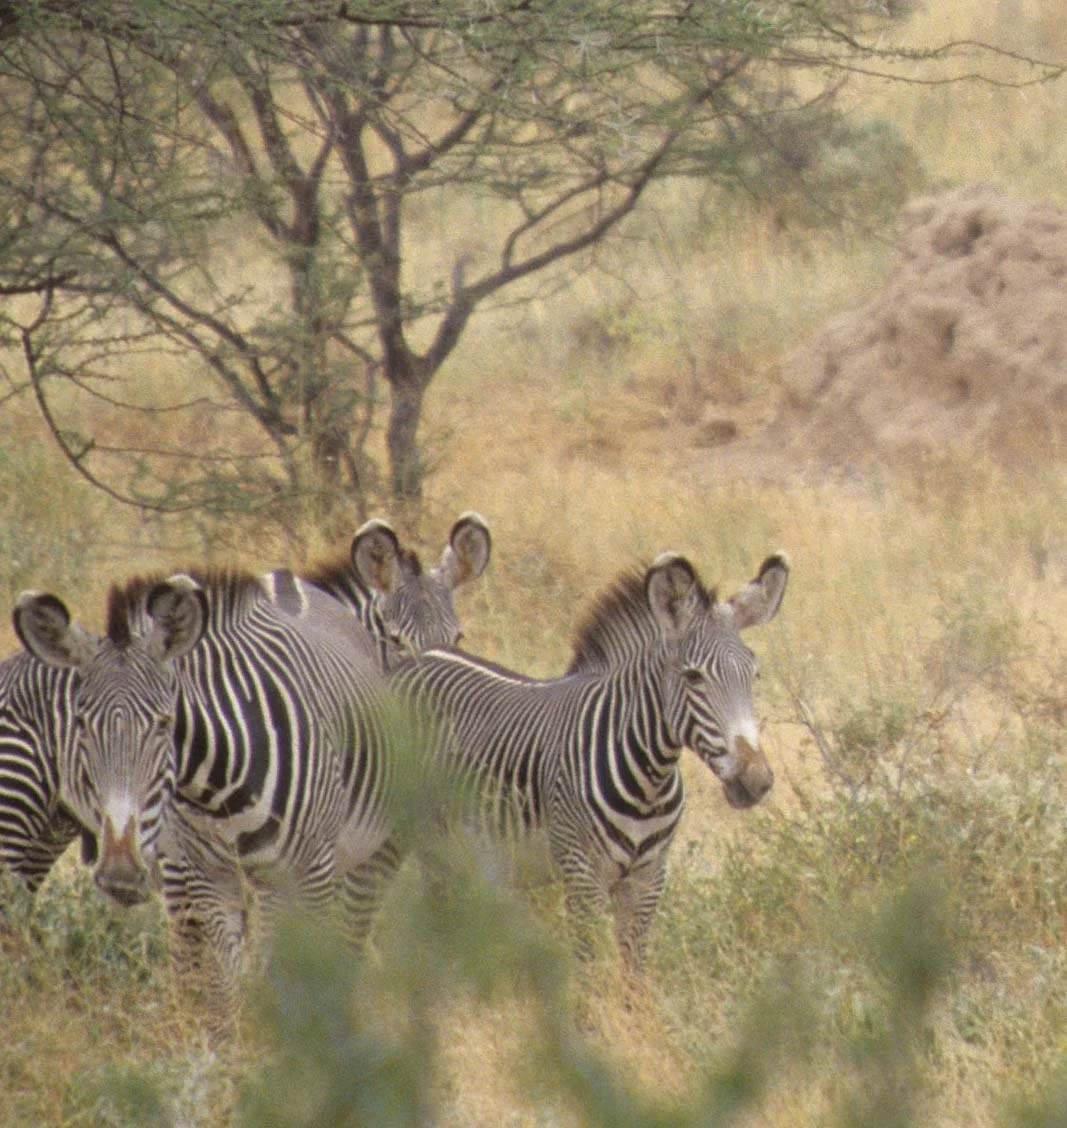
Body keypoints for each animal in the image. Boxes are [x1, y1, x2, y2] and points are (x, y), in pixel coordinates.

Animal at [391, 550, 789, 971]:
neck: (650, 781)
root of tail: (421, 657)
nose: (756, 779)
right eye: (693, 676)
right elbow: (590, 969)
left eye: (755, 675)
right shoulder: (583, 875)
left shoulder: (648, 881)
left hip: (449, 846)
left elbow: (633, 973)